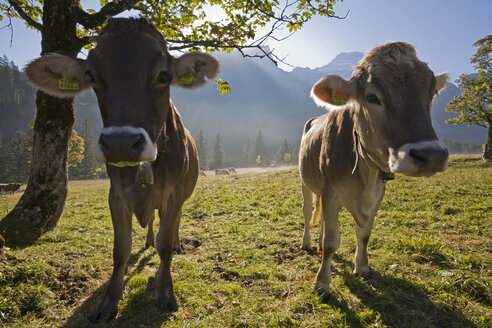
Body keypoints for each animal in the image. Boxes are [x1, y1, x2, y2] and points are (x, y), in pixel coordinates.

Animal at [25, 17, 220, 320]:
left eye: (164, 75)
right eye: (92, 75)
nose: (121, 143)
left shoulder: (174, 194)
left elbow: (165, 245)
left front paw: (166, 293)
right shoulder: (115, 195)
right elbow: (121, 250)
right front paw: (109, 303)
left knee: (171, 224)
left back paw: (176, 242)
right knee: (151, 222)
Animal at [300, 42, 450, 302]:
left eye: (432, 94)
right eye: (372, 97)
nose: (432, 156)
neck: (365, 175)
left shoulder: (377, 194)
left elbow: (364, 235)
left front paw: (361, 266)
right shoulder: (331, 194)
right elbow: (331, 242)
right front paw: (322, 283)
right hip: (305, 184)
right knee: (308, 213)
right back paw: (308, 243)